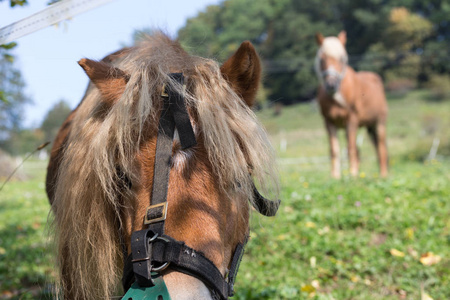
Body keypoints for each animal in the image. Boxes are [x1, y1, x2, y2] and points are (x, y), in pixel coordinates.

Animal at [314, 30, 388, 178]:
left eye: (342, 59)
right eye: (322, 59)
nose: (331, 85)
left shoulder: (352, 119)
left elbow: (351, 148)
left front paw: (352, 174)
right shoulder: (329, 122)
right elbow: (334, 150)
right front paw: (335, 176)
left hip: (379, 122)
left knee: (381, 146)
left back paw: (383, 174)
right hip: (369, 126)